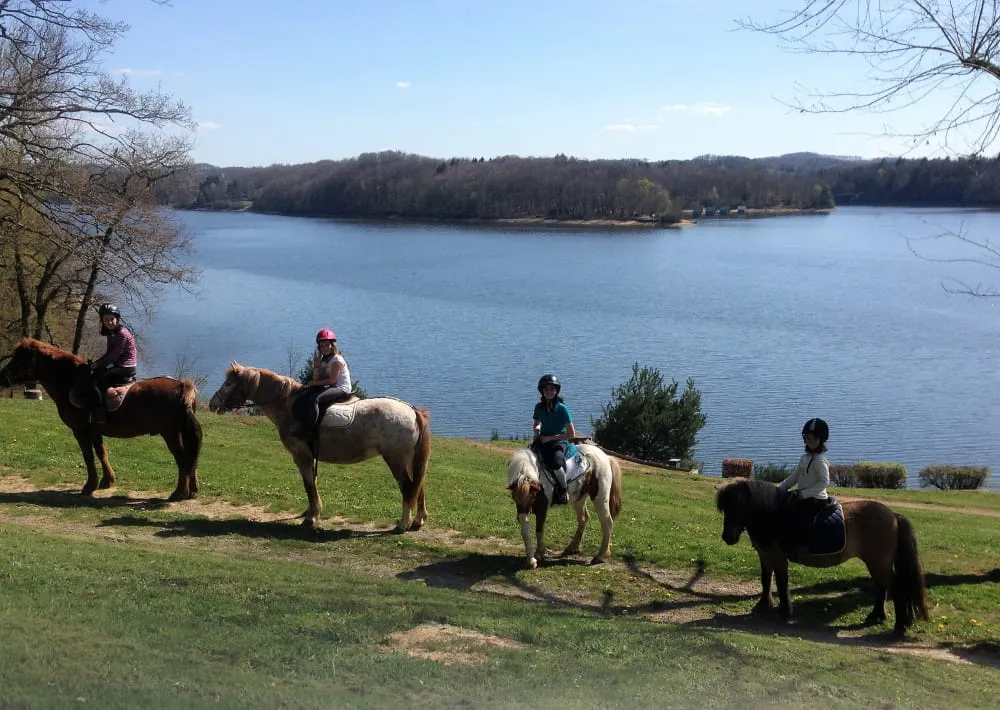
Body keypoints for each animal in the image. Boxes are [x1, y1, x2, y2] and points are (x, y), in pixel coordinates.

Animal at [0, 338, 203, 500]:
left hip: (170, 434)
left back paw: (179, 492)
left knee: (183, 459)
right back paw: (192, 490)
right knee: (190, 457)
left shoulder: (81, 430)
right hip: (180, 432)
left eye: (20, 358)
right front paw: (107, 481)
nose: (3, 377)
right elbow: (101, 453)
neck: (71, 381)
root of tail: (182, 386)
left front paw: (90, 486)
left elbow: (88, 456)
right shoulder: (95, 430)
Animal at [207, 362, 430, 536]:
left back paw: (402, 524)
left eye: (229, 384)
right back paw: (417, 521)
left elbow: (308, 484)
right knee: (418, 487)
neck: (289, 405)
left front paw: (311, 518)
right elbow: (311, 483)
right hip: (409, 460)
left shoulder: (302, 456)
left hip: (396, 460)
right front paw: (310, 513)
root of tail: (412, 410)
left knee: (408, 488)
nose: (212, 403)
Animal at [716, 482, 924, 636]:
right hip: (876, 562)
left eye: (737, 506)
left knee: (896, 588)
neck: (773, 517)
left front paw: (784, 612)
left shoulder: (778, 557)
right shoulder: (765, 556)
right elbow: (766, 579)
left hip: (878, 562)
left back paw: (899, 627)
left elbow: (781, 582)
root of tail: (893, 516)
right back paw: (877, 616)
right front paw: (763, 606)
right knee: (881, 586)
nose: (727, 537)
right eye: (725, 508)